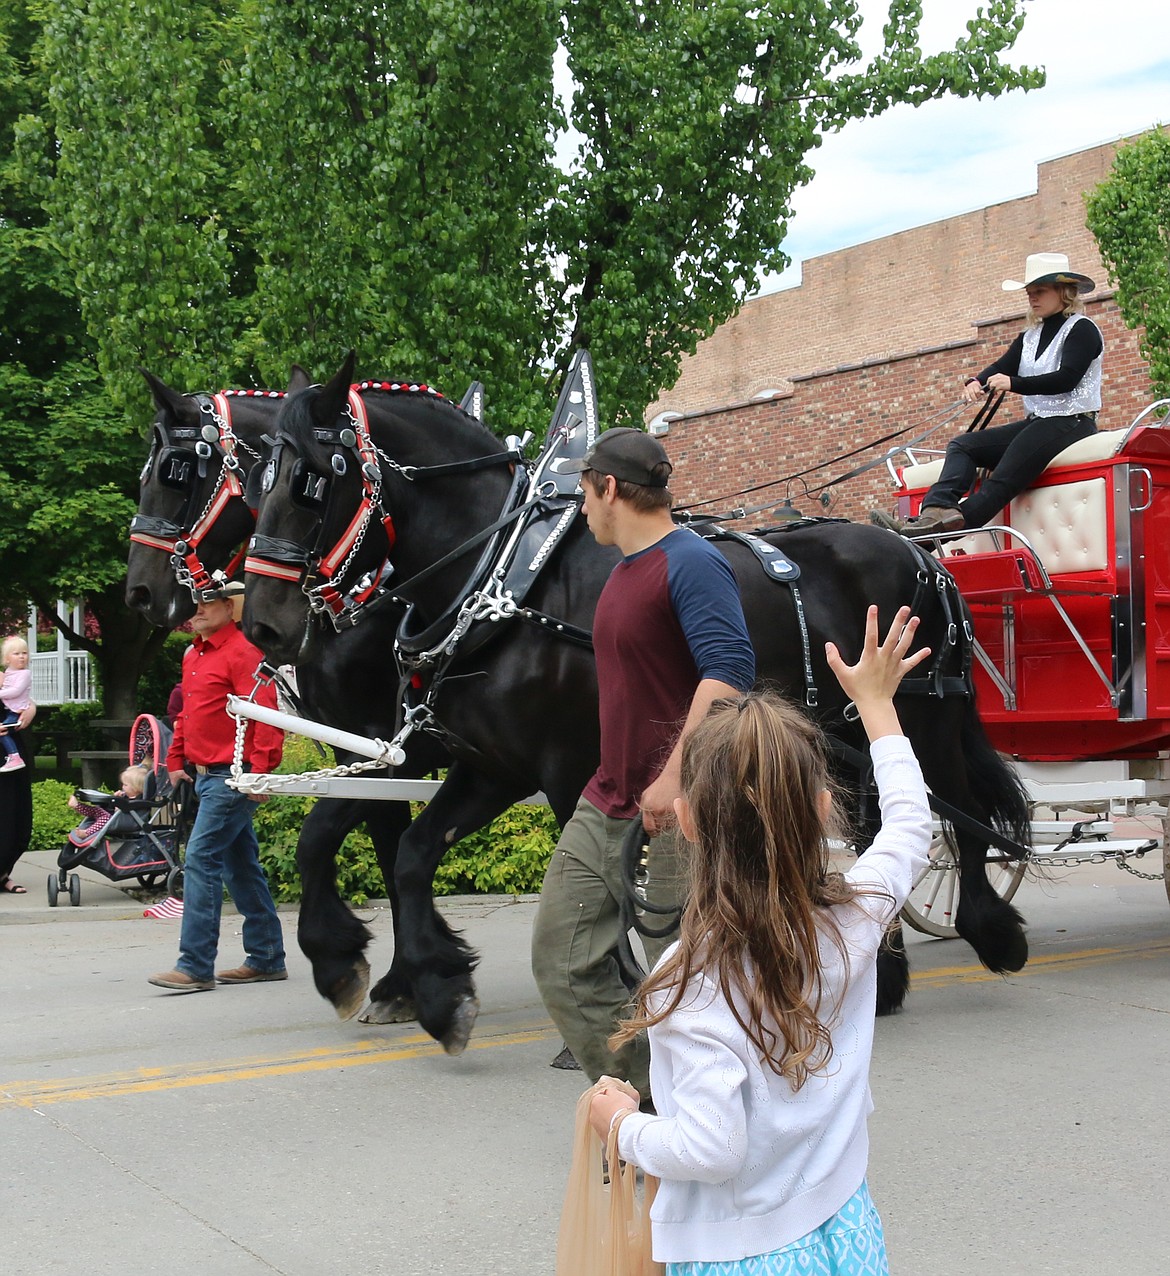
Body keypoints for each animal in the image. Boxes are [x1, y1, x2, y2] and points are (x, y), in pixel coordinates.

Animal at [126, 372, 446, 1020]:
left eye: (177, 471)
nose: (140, 592)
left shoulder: (396, 750)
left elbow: (345, 839)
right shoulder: (358, 754)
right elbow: (388, 850)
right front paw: (402, 981)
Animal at [246, 354, 1030, 1051]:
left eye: (315, 477)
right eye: (257, 480)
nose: (263, 623)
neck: (506, 579)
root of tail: (919, 551)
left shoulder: (565, 769)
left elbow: (600, 885)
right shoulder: (488, 765)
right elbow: (404, 852)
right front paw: (431, 989)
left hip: (924, 716)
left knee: (958, 817)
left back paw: (991, 932)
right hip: (849, 734)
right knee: (876, 829)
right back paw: (884, 977)